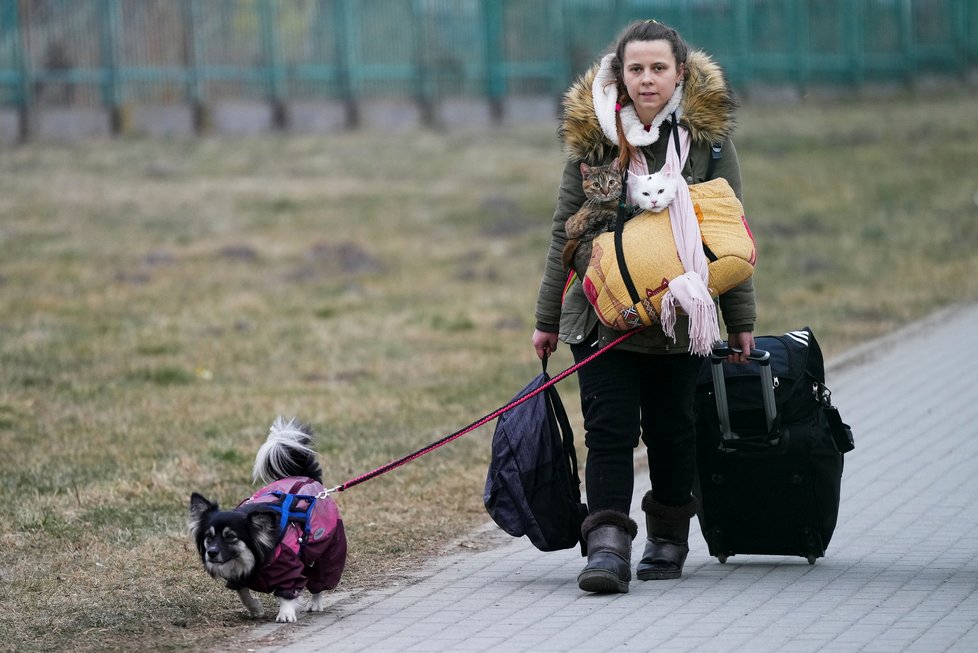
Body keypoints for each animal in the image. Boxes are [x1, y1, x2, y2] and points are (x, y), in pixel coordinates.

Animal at [188, 418, 346, 620]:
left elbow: (287, 592)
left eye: (230, 536)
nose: (211, 553)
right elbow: (243, 593)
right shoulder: (238, 577)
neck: (252, 558)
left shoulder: (288, 569)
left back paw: (316, 603)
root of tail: (307, 478)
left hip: (328, 548)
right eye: (209, 537)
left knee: (320, 578)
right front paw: (255, 608)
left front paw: (286, 614)